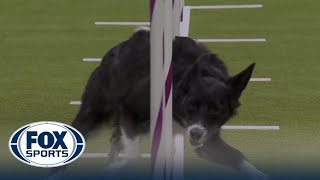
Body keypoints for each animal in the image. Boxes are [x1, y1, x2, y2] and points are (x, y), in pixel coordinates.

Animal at [67, 28, 264, 179]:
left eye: (216, 110)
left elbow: (237, 156)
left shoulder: (208, 137)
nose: (195, 133)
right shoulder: (130, 109)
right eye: (190, 105)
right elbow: (134, 158)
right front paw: (113, 168)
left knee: (116, 138)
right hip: (95, 112)